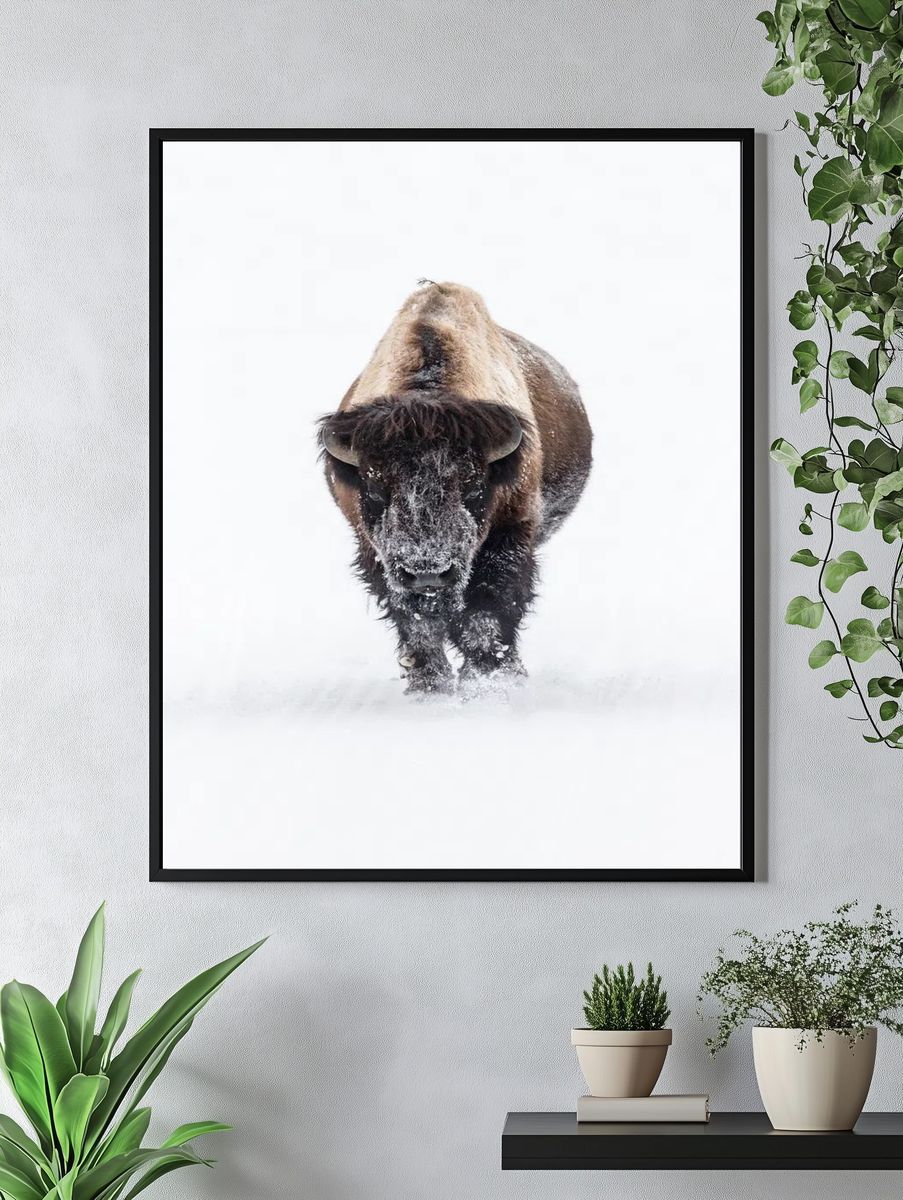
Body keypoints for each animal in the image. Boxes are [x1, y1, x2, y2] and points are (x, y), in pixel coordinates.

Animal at [319, 282, 592, 695]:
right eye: (375, 488)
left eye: (474, 488)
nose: (427, 573)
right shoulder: (374, 551)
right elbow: (416, 622)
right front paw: (429, 684)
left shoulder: (510, 535)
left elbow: (487, 610)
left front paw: (490, 679)